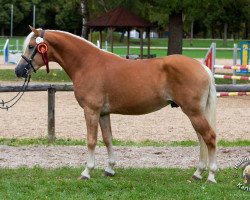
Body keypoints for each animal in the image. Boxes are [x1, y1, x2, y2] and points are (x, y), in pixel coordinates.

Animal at [14, 26, 218, 183]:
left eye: (31, 46)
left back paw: (211, 175)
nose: (19, 71)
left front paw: (86, 172)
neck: (87, 63)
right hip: (194, 113)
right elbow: (107, 139)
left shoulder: (91, 111)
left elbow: (91, 140)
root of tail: (202, 67)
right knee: (201, 138)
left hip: (193, 112)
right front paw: (109, 169)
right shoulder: (104, 113)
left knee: (209, 137)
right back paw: (198, 173)